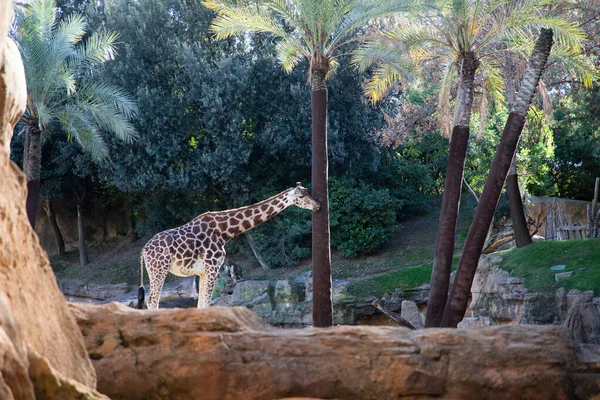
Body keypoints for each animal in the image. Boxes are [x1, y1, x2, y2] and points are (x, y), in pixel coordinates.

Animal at [139, 183, 322, 310]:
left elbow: (201, 304)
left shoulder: (203, 272)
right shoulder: (212, 267)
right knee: (152, 300)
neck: (225, 232)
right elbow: (206, 304)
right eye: (301, 196)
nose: (317, 205)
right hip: (159, 269)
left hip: (156, 270)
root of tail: (143, 251)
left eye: (308, 192)